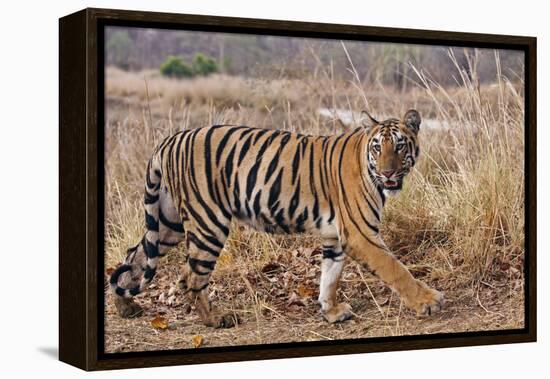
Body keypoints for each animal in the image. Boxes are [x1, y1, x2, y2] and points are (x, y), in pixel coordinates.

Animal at [111, 108, 444, 328]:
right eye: (378, 147)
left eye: (399, 145)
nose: (388, 173)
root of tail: (170, 140)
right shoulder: (361, 234)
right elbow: (396, 269)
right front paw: (428, 301)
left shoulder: (335, 236)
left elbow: (330, 276)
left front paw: (331, 312)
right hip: (208, 222)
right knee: (192, 275)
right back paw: (216, 319)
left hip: (168, 223)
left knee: (135, 256)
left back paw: (125, 307)